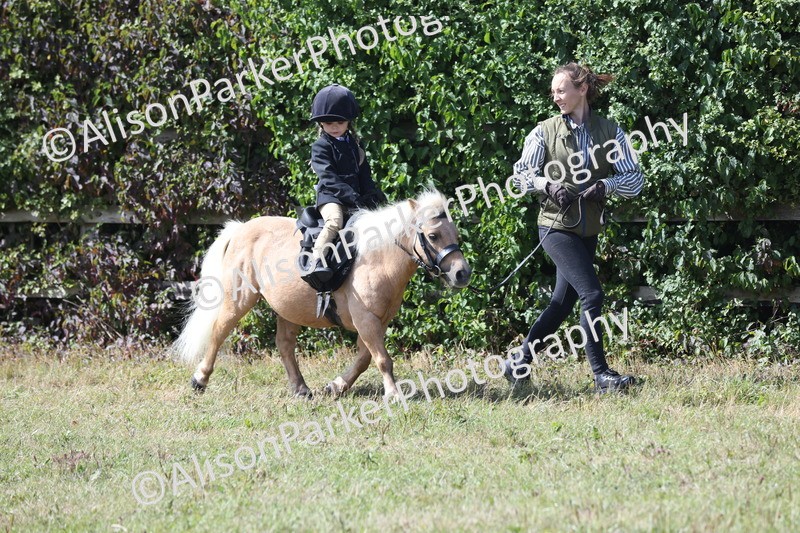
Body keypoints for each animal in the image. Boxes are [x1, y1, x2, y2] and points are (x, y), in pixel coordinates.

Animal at [173, 189, 472, 399]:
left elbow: (364, 359)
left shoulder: (376, 321)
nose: (462, 273)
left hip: (287, 308)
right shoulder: (366, 320)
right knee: (219, 332)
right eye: (433, 236)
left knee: (284, 345)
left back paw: (301, 389)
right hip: (238, 299)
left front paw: (336, 386)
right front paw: (394, 394)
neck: (376, 258)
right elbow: (382, 360)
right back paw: (200, 379)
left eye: (455, 233)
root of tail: (240, 229)